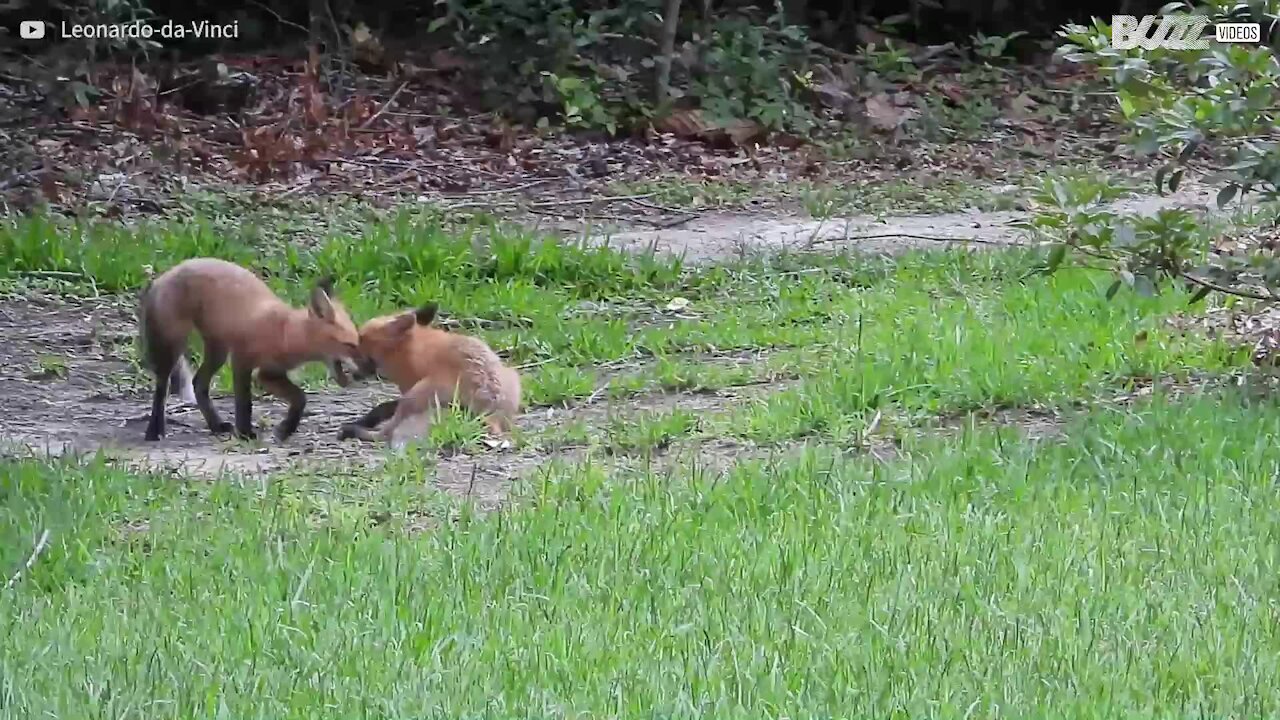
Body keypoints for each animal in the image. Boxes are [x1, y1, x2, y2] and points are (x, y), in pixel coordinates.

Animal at [136, 254, 363, 440]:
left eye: (357, 342)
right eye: (349, 345)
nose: (364, 370)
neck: (284, 333)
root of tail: (162, 276)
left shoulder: (269, 373)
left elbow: (300, 398)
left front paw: (286, 429)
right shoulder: (242, 361)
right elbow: (244, 403)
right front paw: (245, 433)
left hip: (217, 351)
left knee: (198, 383)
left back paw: (216, 425)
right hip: (172, 346)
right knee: (162, 388)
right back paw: (154, 431)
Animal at [340, 303, 524, 448]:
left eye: (360, 339)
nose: (346, 345)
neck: (409, 349)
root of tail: (492, 405)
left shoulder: (409, 389)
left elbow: (382, 409)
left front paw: (362, 421)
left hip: (418, 394)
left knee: (385, 433)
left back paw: (351, 431)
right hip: (512, 375)